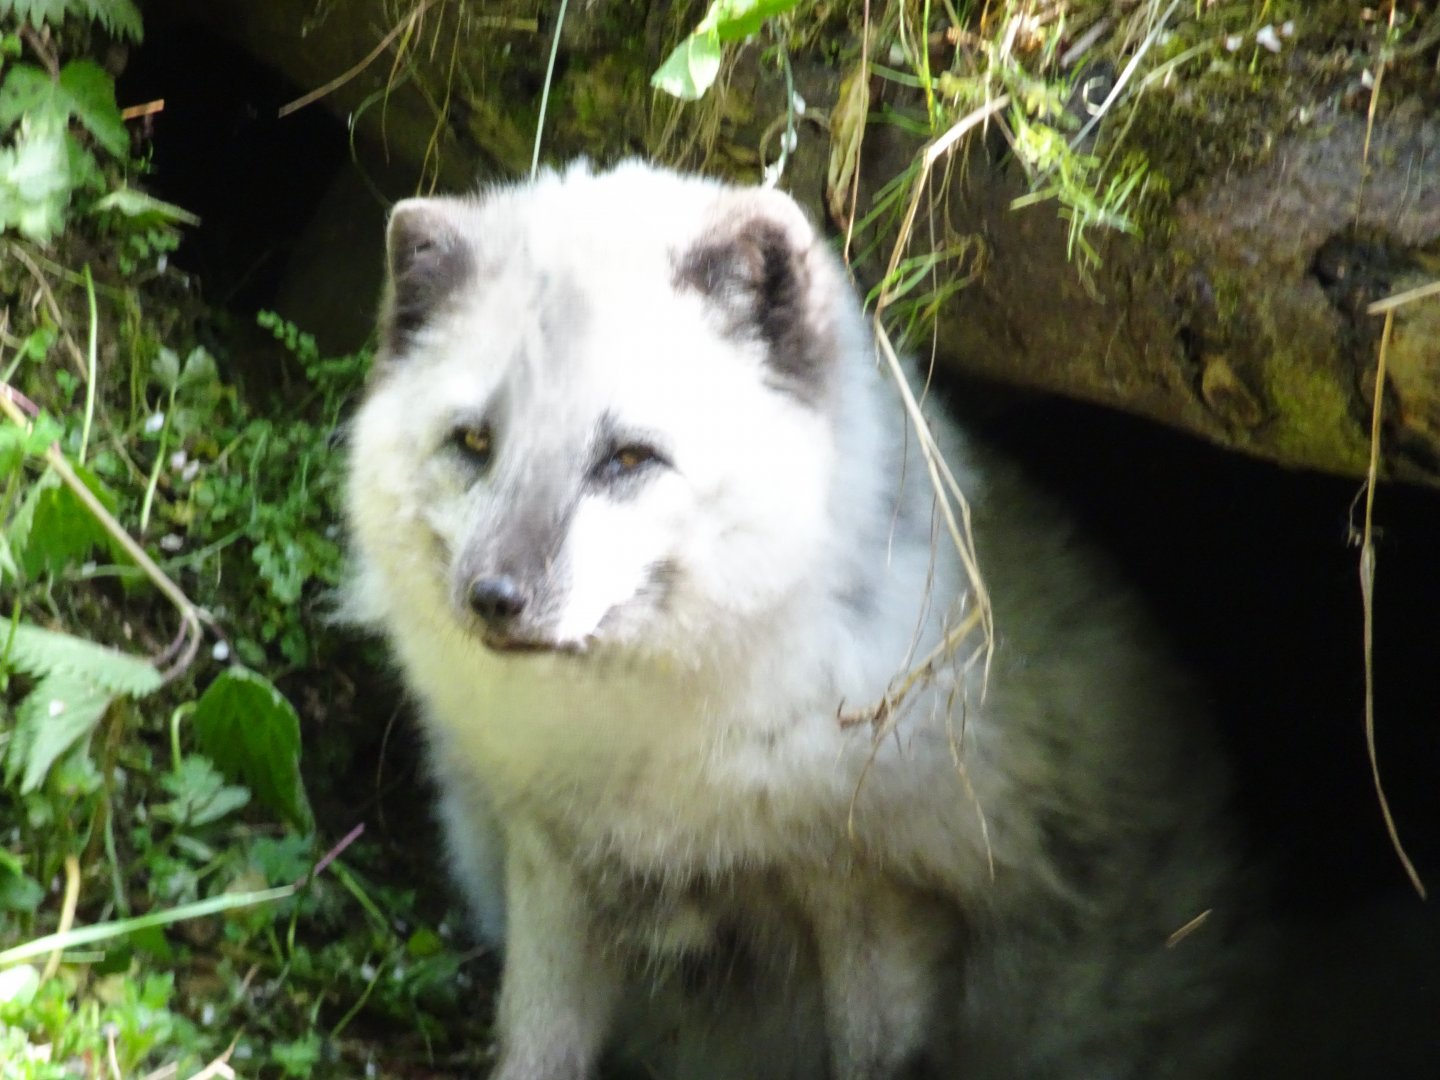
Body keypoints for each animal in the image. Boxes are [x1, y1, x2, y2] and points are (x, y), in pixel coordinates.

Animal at [343, 160, 1247, 1080]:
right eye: (473, 443)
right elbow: (535, 1044)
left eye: (628, 458)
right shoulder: (556, 866)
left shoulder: (876, 894)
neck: (648, 760)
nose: (494, 597)